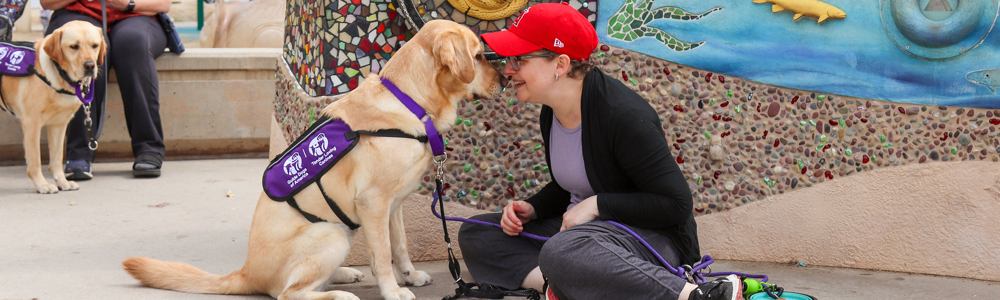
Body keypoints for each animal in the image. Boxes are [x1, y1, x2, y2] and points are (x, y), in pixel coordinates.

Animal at [0, 21, 105, 195]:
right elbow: (35, 160)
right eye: (74, 46)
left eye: (95, 45)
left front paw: (62, 182)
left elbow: (56, 159)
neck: (59, 76)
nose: (90, 65)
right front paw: (42, 184)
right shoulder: (31, 123)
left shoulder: (59, 124)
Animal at [122, 19, 504, 300]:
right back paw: (339, 295)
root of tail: (245, 273)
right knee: (288, 293)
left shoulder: (393, 206)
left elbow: (400, 246)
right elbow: (382, 256)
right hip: (331, 233)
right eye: (479, 56)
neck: (409, 101)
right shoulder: (373, 204)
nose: (503, 81)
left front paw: (408, 276)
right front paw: (393, 291)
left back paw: (344, 275)